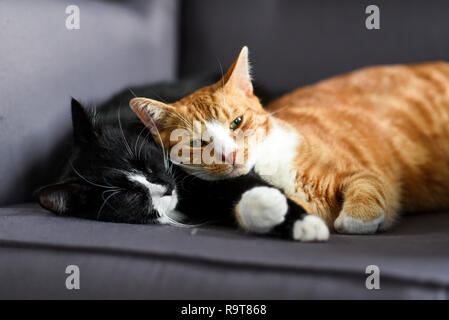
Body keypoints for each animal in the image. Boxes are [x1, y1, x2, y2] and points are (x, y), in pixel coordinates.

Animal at [130, 47, 448, 238]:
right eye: (196, 144)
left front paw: (354, 219)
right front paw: (264, 206)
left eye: (236, 122)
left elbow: (367, 189)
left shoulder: (364, 172)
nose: (230, 155)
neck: (270, 166)